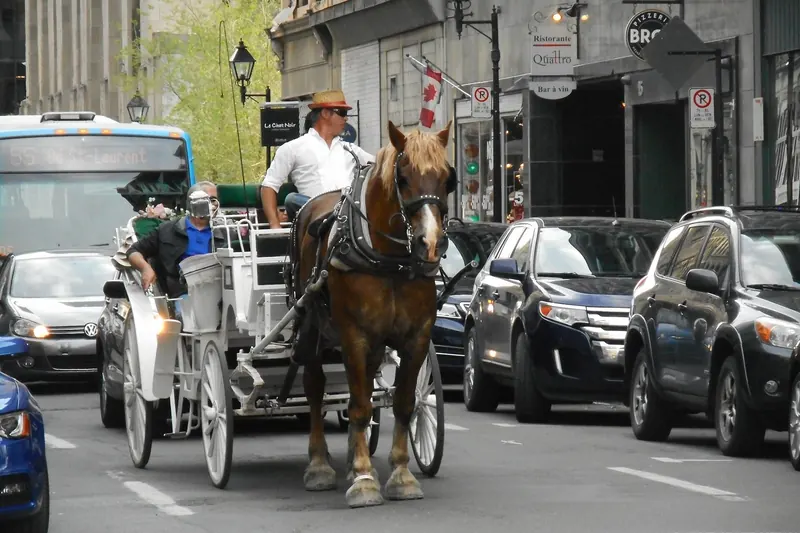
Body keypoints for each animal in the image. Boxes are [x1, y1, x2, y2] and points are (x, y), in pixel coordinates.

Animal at [287, 119, 457, 508]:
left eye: (447, 178)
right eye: (403, 177)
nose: (431, 244)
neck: (390, 261)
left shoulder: (416, 337)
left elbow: (404, 404)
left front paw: (400, 475)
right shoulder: (354, 335)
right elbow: (361, 407)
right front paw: (364, 480)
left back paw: (350, 459)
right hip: (315, 329)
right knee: (316, 389)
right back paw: (319, 465)